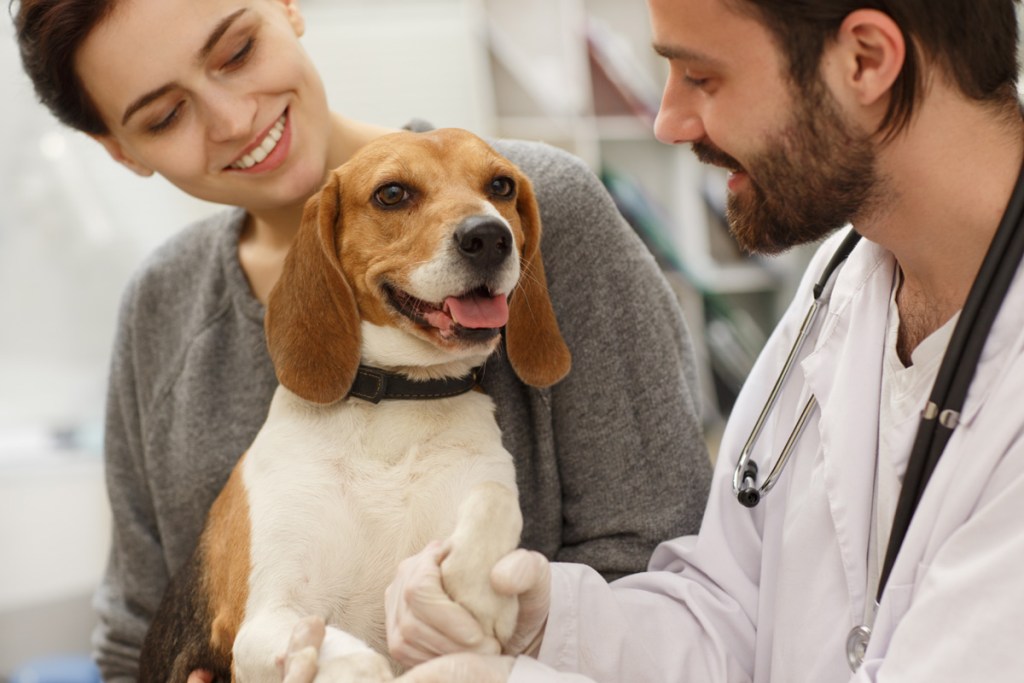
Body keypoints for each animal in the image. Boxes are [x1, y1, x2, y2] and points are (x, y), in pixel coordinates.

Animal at [137, 127, 573, 683]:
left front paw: (478, 589)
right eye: (392, 193)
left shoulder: (481, 481)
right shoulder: (260, 621)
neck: (399, 400)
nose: (489, 237)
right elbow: (354, 658)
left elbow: (494, 495)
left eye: (501, 186)